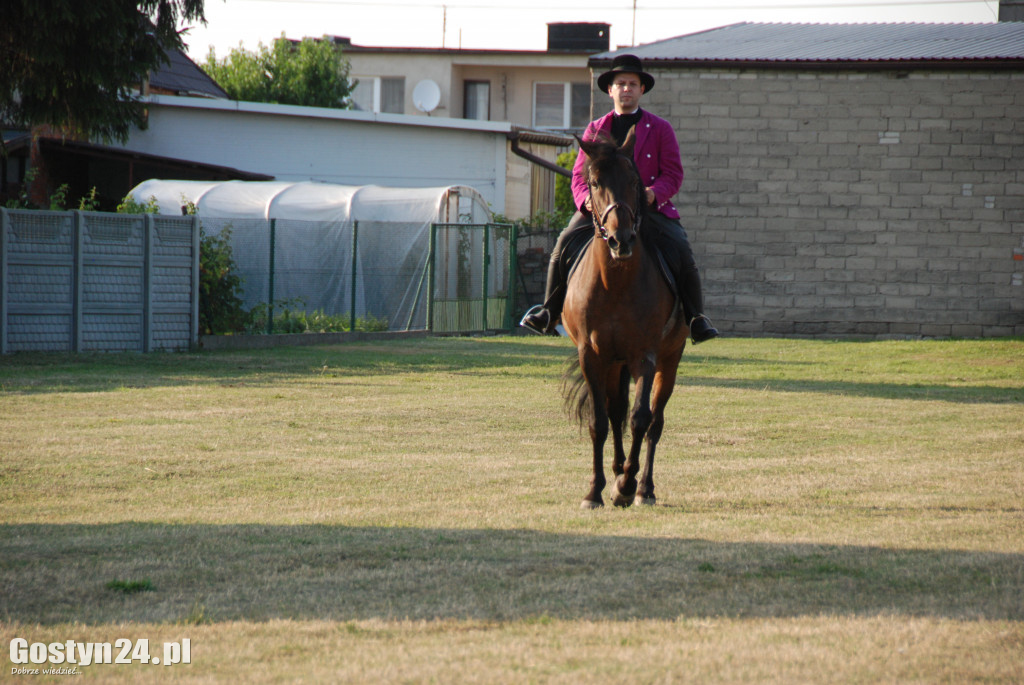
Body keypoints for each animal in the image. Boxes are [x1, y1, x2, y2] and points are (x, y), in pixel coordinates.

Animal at [561, 131, 688, 509]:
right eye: (594, 183)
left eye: (634, 181)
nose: (621, 240)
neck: (615, 281)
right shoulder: (592, 356)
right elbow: (600, 421)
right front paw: (595, 491)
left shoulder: (644, 356)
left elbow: (641, 418)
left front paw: (627, 485)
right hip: (613, 363)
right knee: (615, 412)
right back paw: (617, 471)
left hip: (668, 359)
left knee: (655, 421)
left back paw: (643, 487)